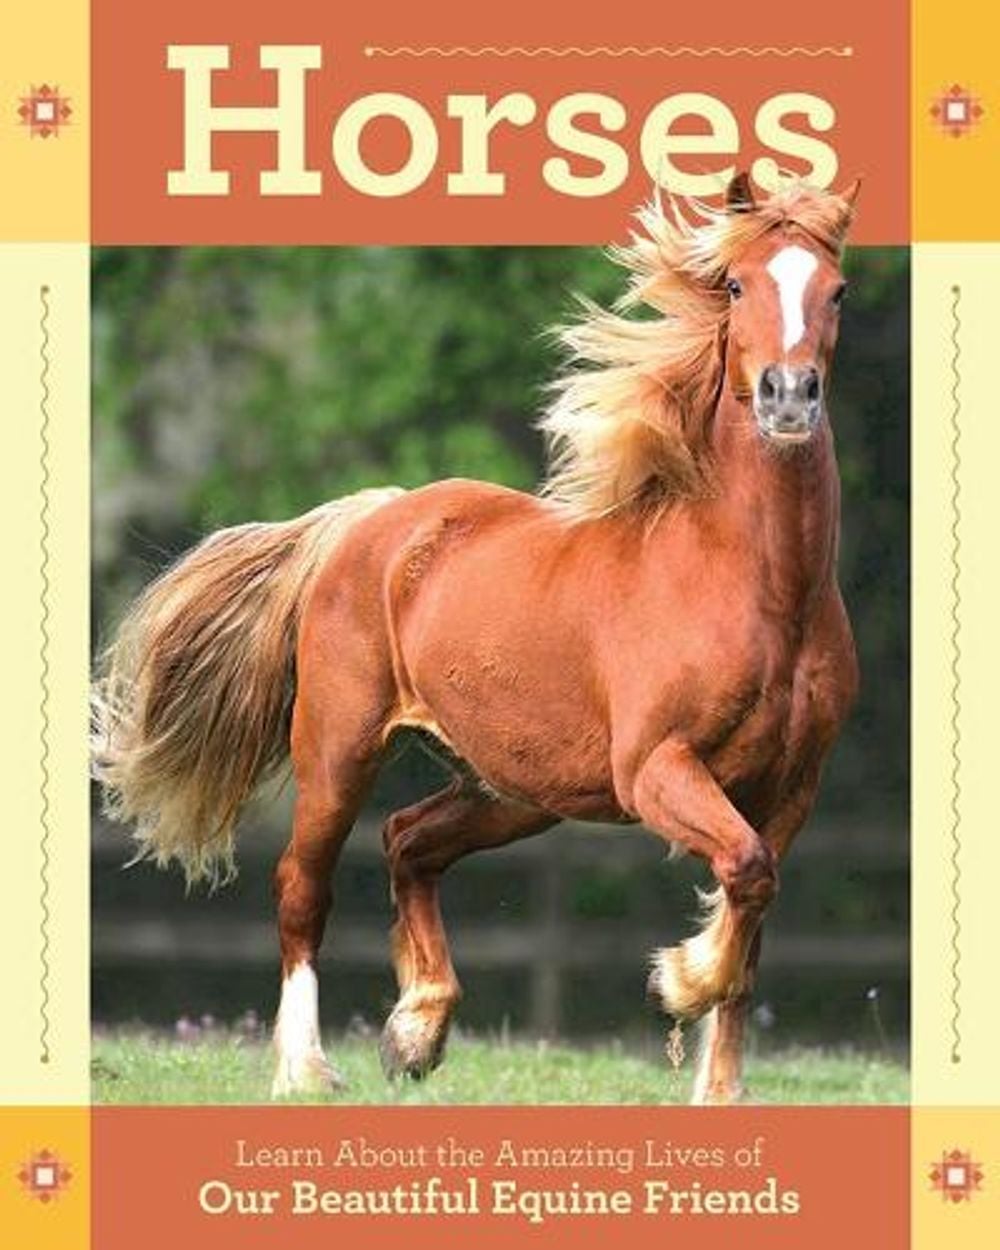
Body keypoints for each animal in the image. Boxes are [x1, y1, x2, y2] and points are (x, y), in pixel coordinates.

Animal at [93, 172, 860, 1105]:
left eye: (837, 290)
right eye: (739, 285)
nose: (789, 397)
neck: (759, 592)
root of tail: (371, 519)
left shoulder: (792, 788)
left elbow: (752, 914)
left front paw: (719, 1087)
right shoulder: (656, 766)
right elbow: (744, 877)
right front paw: (679, 980)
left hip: (514, 786)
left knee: (408, 841)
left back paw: (416, 1031)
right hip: (340, 749)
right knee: (303, 888)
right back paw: (306, 1070)